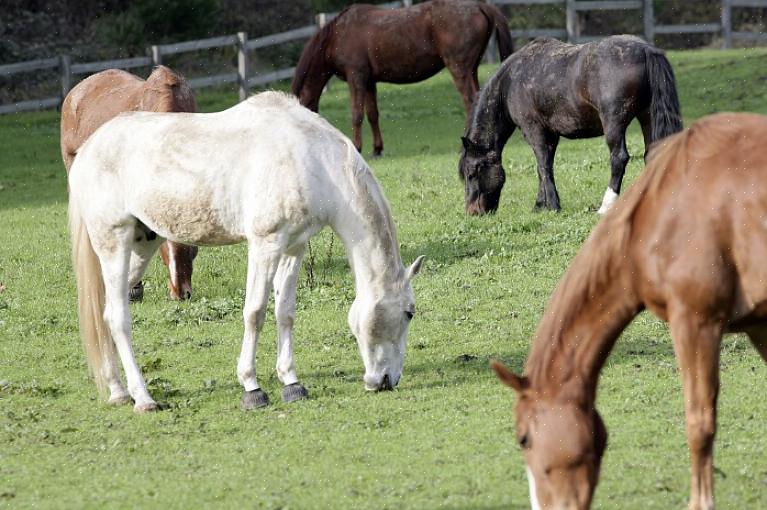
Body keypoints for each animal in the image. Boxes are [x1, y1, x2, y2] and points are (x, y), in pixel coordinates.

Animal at [67, 91, 426, 414]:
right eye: (409, 312)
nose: (387, 381)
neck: (309, 158)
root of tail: (88, 149)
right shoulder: (264, 245)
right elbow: (254, 313)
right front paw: (252, 388)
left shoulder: (293, 247)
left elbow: (285, 312)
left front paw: (291, 383)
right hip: (114, 244)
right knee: (118, 318)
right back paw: (143, 398)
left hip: (142, 246)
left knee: (104, 315)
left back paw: (117, 391)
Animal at [292, 0, 512, 155]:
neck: (338, 35)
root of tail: (480, 5)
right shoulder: (369, 82)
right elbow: (372, 114)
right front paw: (377, 149)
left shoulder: (357, 78)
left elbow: (357, 114)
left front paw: (357, 147)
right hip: (471, 69)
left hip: (459, 69)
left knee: (470, 101)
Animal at [462, 35, 684, 215]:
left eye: (472, 173)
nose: (473, 212)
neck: (511, 81)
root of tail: (646, 50)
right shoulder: (551, 135)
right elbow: (544, 167)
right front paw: (539, 205)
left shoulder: (534, 130)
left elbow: (543, 165)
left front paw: (552, 205)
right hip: (647, 116)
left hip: (614, 124)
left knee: (618, 158)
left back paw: (606, 206)